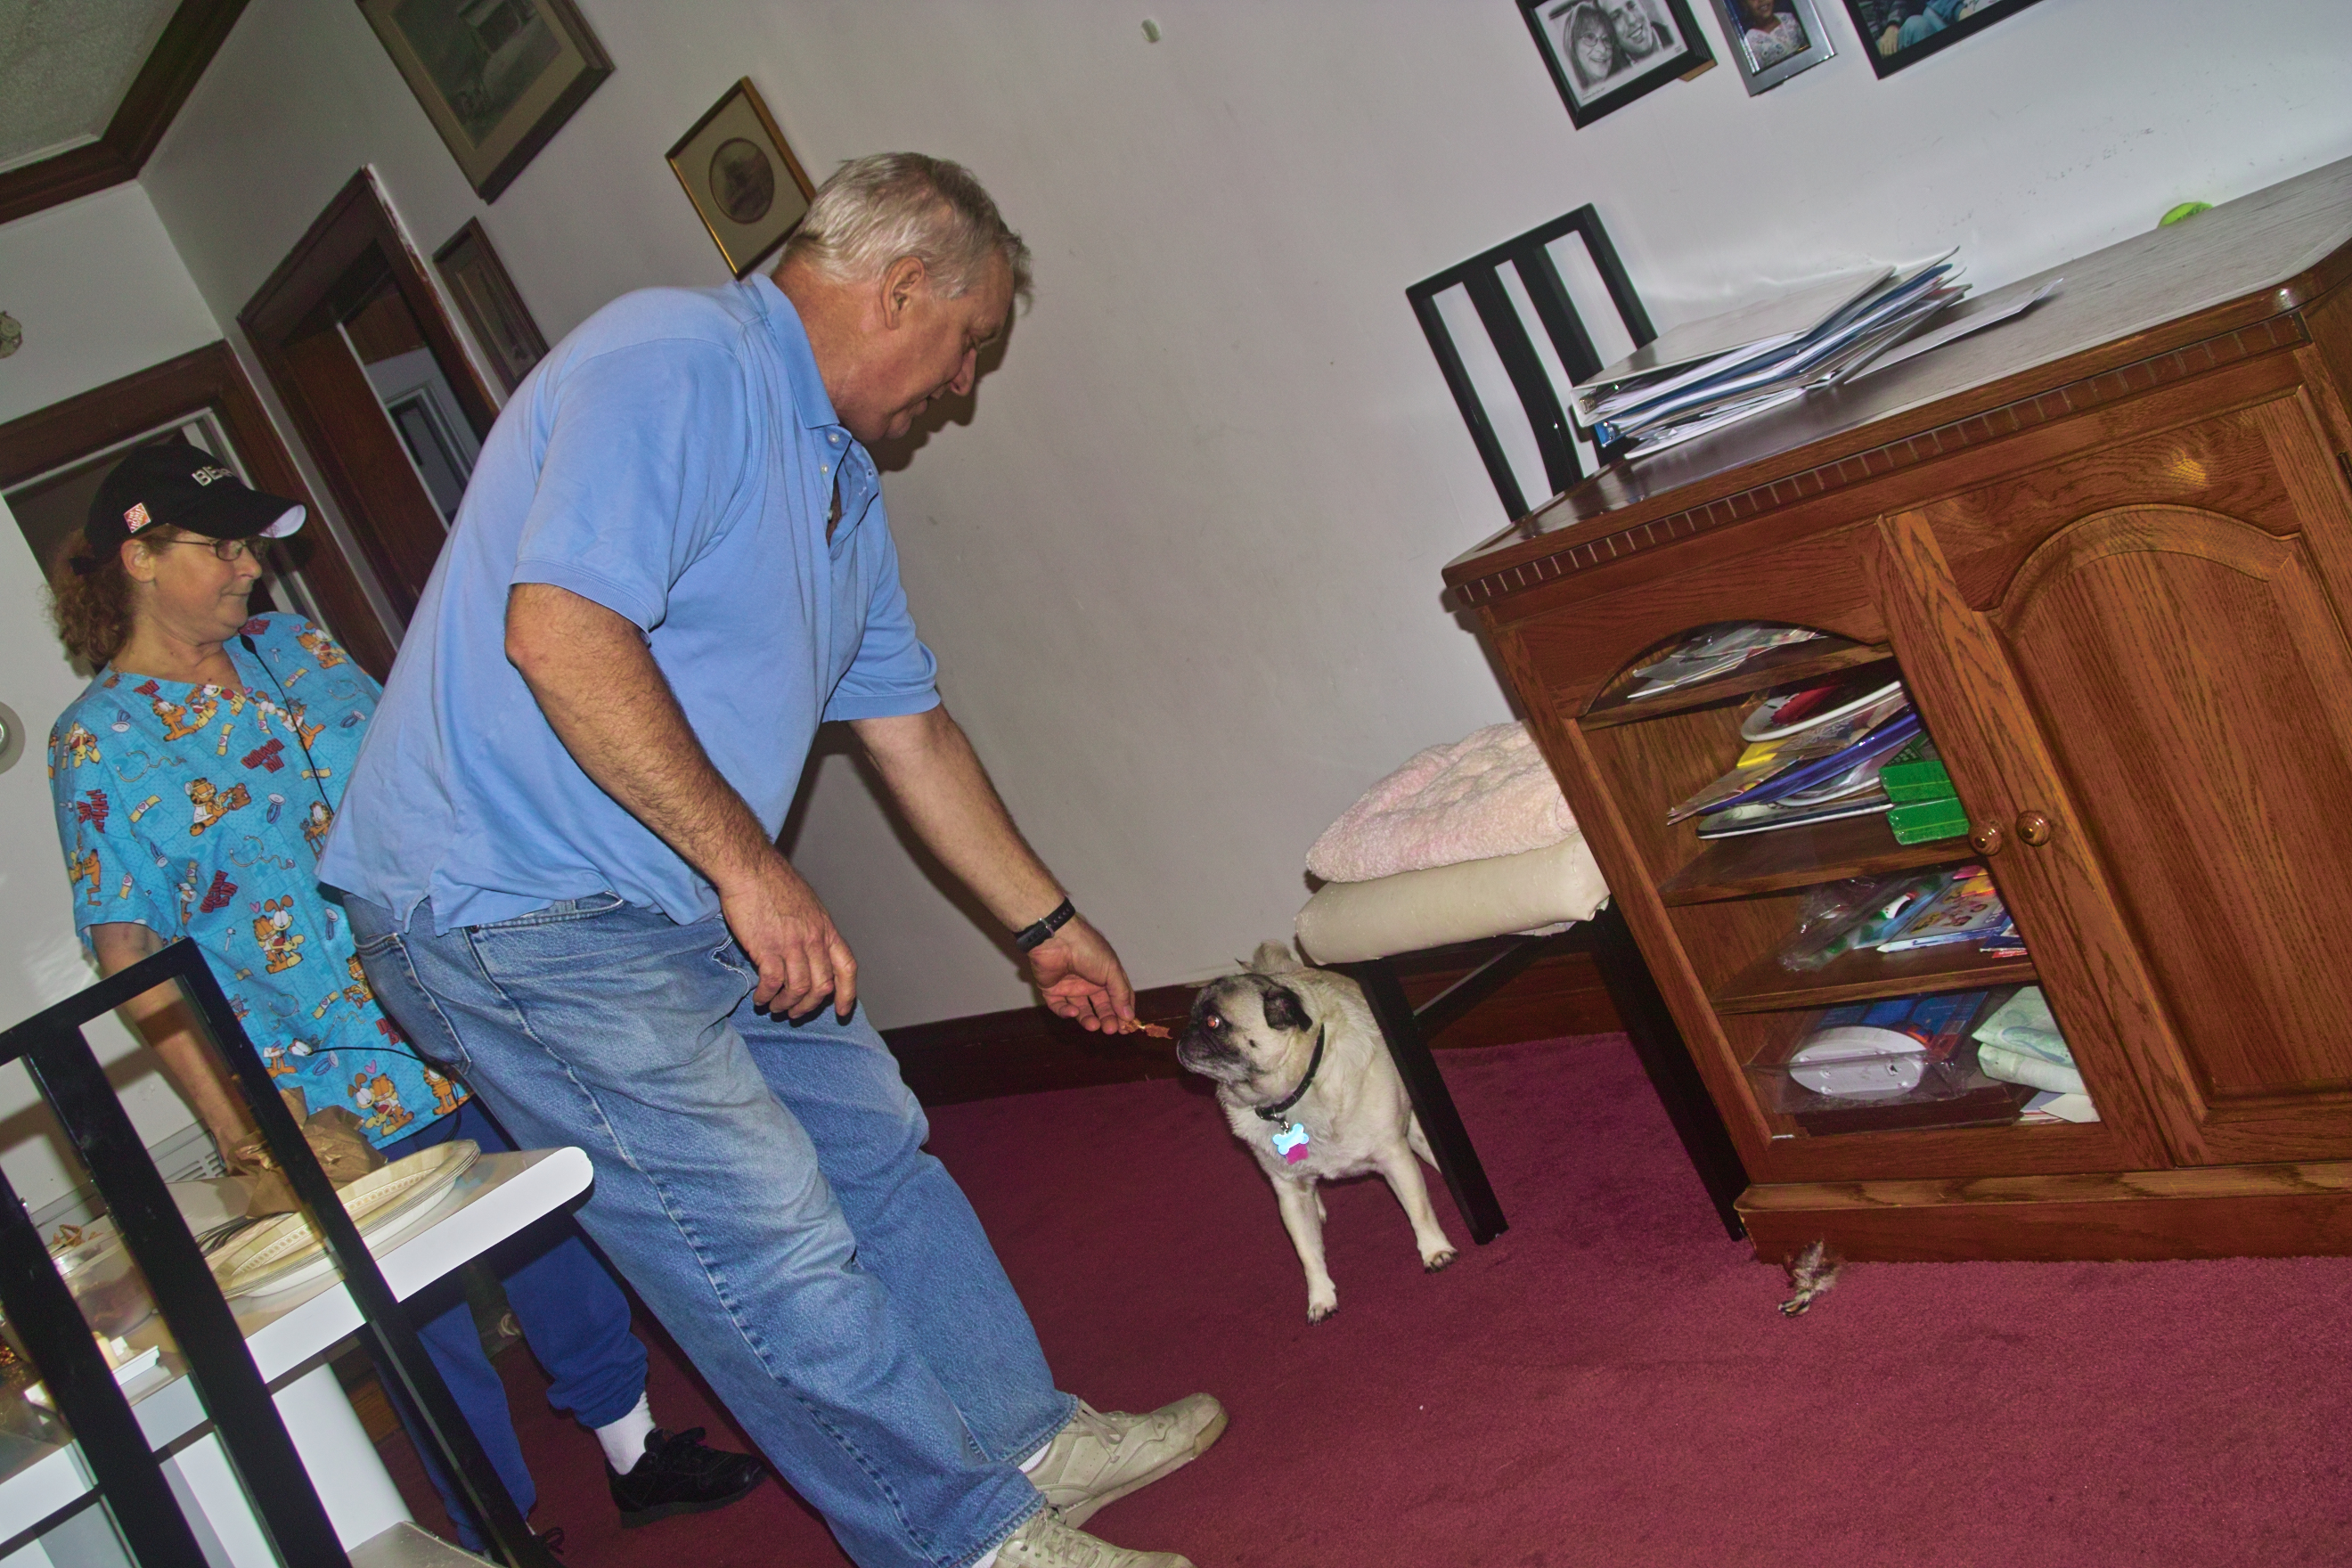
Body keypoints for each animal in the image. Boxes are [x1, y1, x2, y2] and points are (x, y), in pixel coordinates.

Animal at [1177, 942, 1455, 1322]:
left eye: (1213, 1022)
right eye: (1192, 1017)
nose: (1183, 1036)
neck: (1290, 1094)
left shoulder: (1395, 1157)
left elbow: (1418, 1209)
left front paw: (1434, 1249)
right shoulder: (1289, 1193)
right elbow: (1307, 1253)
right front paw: (1320, 1297)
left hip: (1414, 1134)